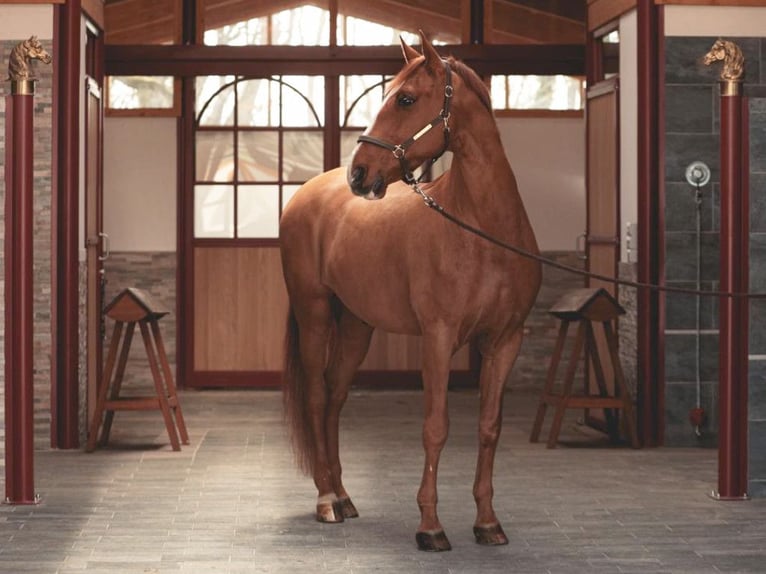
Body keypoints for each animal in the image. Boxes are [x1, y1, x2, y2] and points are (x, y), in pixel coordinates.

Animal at [280, 32, 544, 552]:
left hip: (356, 325)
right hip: (314, 314)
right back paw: (325, 501)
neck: (482, 231)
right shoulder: (438, 338)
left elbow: (489, 427)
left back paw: (343, 495)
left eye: (404, 98)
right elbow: (435, 428)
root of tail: (307, 193)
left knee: (336, 397)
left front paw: (488, 522)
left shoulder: (506, 340)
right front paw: (430, 526)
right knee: (318, 397)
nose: (359, 174)